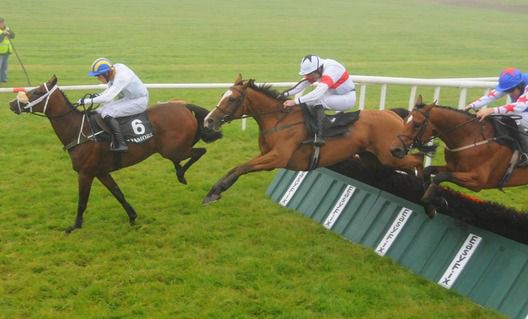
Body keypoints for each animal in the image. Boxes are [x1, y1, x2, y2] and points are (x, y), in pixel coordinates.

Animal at [9, 76, 222, 234]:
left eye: (37, 92)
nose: (12, 104)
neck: (80, 130)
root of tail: (184, 106)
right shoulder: (101, 172)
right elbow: (118, 193)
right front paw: (132, 216)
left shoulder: (85, 173)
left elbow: (82, 201)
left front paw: (74, 226)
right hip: (174, 147)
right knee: (189, 152)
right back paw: (179, 169)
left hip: (172, 149)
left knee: (199, 151)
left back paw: (180, 174)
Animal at [202, 74, 424, 204]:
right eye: (222, 95)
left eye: (232, 99)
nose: (208, 120)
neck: (279, 120)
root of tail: (395, 115)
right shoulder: (266, 154)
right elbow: (238, 167)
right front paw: (215, 190)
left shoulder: (278, 157)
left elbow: (242, 167)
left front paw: (215, 191)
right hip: (374, 159)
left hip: (390, 154)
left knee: (418, 160)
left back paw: (424, 190)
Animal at [388, 95, 528, 209]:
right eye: (405, 119)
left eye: (417, 125)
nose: (395, 150)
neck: (471, 138)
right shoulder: (452, 167)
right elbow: (429, 171)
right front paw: (436, 198)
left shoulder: (477, 181)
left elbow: (440, 177)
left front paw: (432, 199)